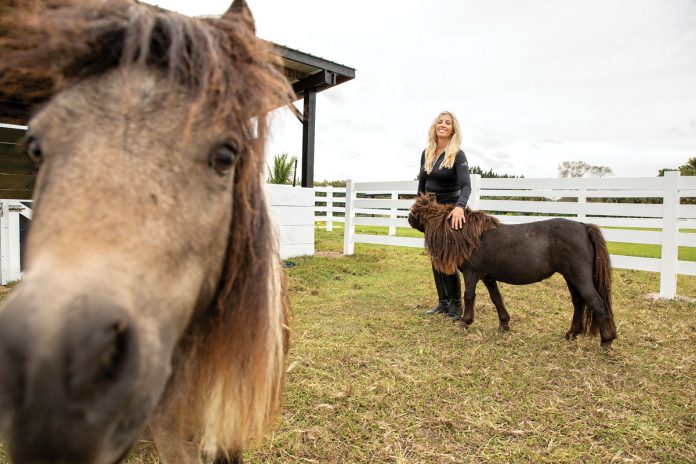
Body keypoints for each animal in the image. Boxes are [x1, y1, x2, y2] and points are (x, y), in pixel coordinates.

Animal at [409, 194, 617, 348]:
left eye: (417, 211)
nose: (409, 218)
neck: (468, 236)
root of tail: (584, 226)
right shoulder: (488, 277)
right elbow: (496, 298)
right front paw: (504, 324)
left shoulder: (471, 273)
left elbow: (469, 296)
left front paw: (465, 322)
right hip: (570, 278)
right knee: (579, 302)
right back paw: (572, 333)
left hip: (579, 277)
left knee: (596, 303)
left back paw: (606, 341)